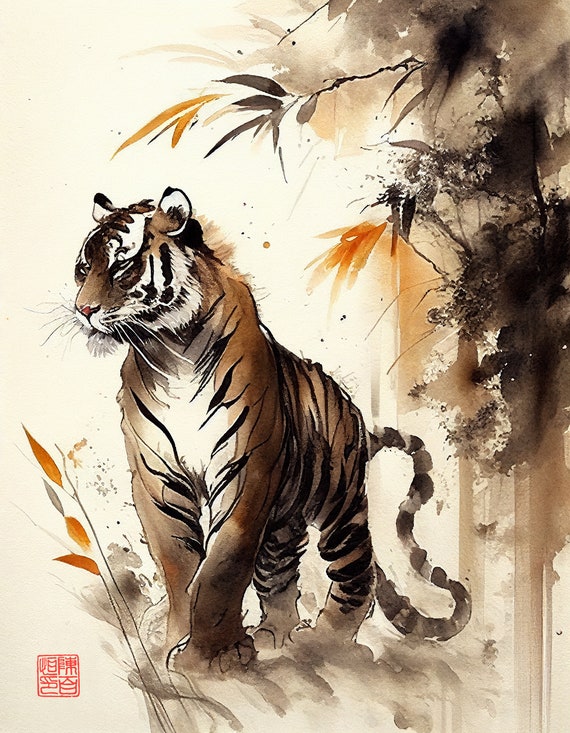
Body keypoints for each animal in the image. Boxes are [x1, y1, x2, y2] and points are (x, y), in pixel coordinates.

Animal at [74, 186, 470, 668]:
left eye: (123, 265)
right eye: (82, 269)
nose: (83, 309)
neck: (170, 351)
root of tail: (356, 416)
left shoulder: (248, 470)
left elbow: (222, 566)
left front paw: (212, 657)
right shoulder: (156, 479)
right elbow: (178, 565)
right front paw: (176, 643)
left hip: (339, 507)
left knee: (356, 574)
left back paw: (328, 643)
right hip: (283, 522)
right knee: (279, 575)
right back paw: (275, 637)